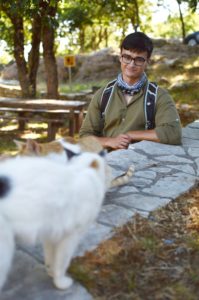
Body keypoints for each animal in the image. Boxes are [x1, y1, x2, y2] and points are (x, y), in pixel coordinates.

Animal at [0, 151, 107, 292]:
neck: (80, 170)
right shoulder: (70, 238)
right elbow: (62, 263)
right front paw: (60, 283)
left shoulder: (50, 234)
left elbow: (50, 258)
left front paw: (50, 272)